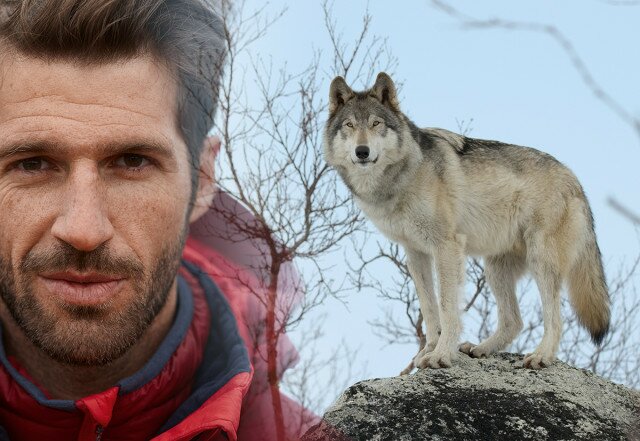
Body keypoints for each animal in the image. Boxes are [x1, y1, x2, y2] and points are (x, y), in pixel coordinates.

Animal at [323, 72, 610, 369]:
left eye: (376, 123)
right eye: (349, 125)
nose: (362, 151)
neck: (403, 176)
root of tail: (575, 180)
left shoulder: (447, 247)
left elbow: (447, 307)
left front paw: (441, 355)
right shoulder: (415, 253)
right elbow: (429, 308)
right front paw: (428, 351)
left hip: (540, 261)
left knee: (555, 316)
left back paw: (541, 356)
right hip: (494, 269)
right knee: (514, 321)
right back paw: (481, 349)